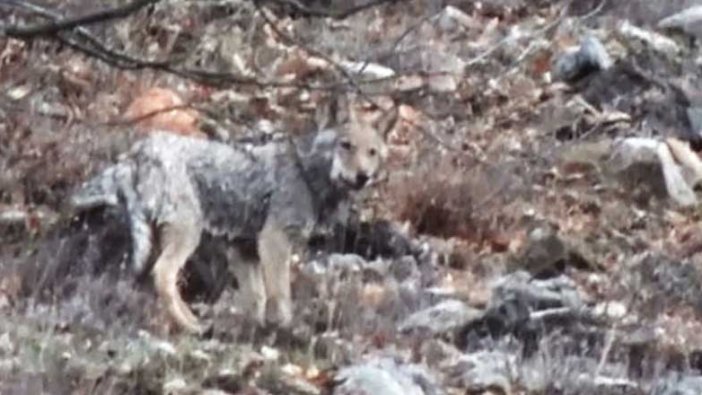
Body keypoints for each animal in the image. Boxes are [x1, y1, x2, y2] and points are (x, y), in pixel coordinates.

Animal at [70, 106, 396, 336]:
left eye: (372, 152)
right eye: (346, 145)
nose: (363, 177)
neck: (306, 173)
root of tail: (138, 150)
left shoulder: (244, 250)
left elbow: (257, 301)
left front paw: (255, 332)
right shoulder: (274, 241)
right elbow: (281, 297)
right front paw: (285, 331)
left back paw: (195, 323)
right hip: (188, 234)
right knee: (162, 275)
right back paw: (190, 327)